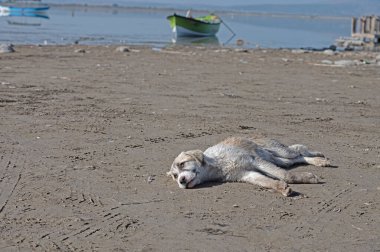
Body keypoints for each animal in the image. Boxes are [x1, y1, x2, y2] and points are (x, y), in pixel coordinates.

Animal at [168, 137, 332, 196]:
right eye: (175, 176)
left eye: (182, 164)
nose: (181, 181)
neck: (217, 165)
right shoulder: (247, 174)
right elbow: (268, 182)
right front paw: (281, 187)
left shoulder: (255, 161)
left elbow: (285, 175)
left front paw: (308, 178)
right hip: (280, 160)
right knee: (298, 157)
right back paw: (318, 161)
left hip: (281, 151)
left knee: (299, 148)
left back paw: (320, 158)